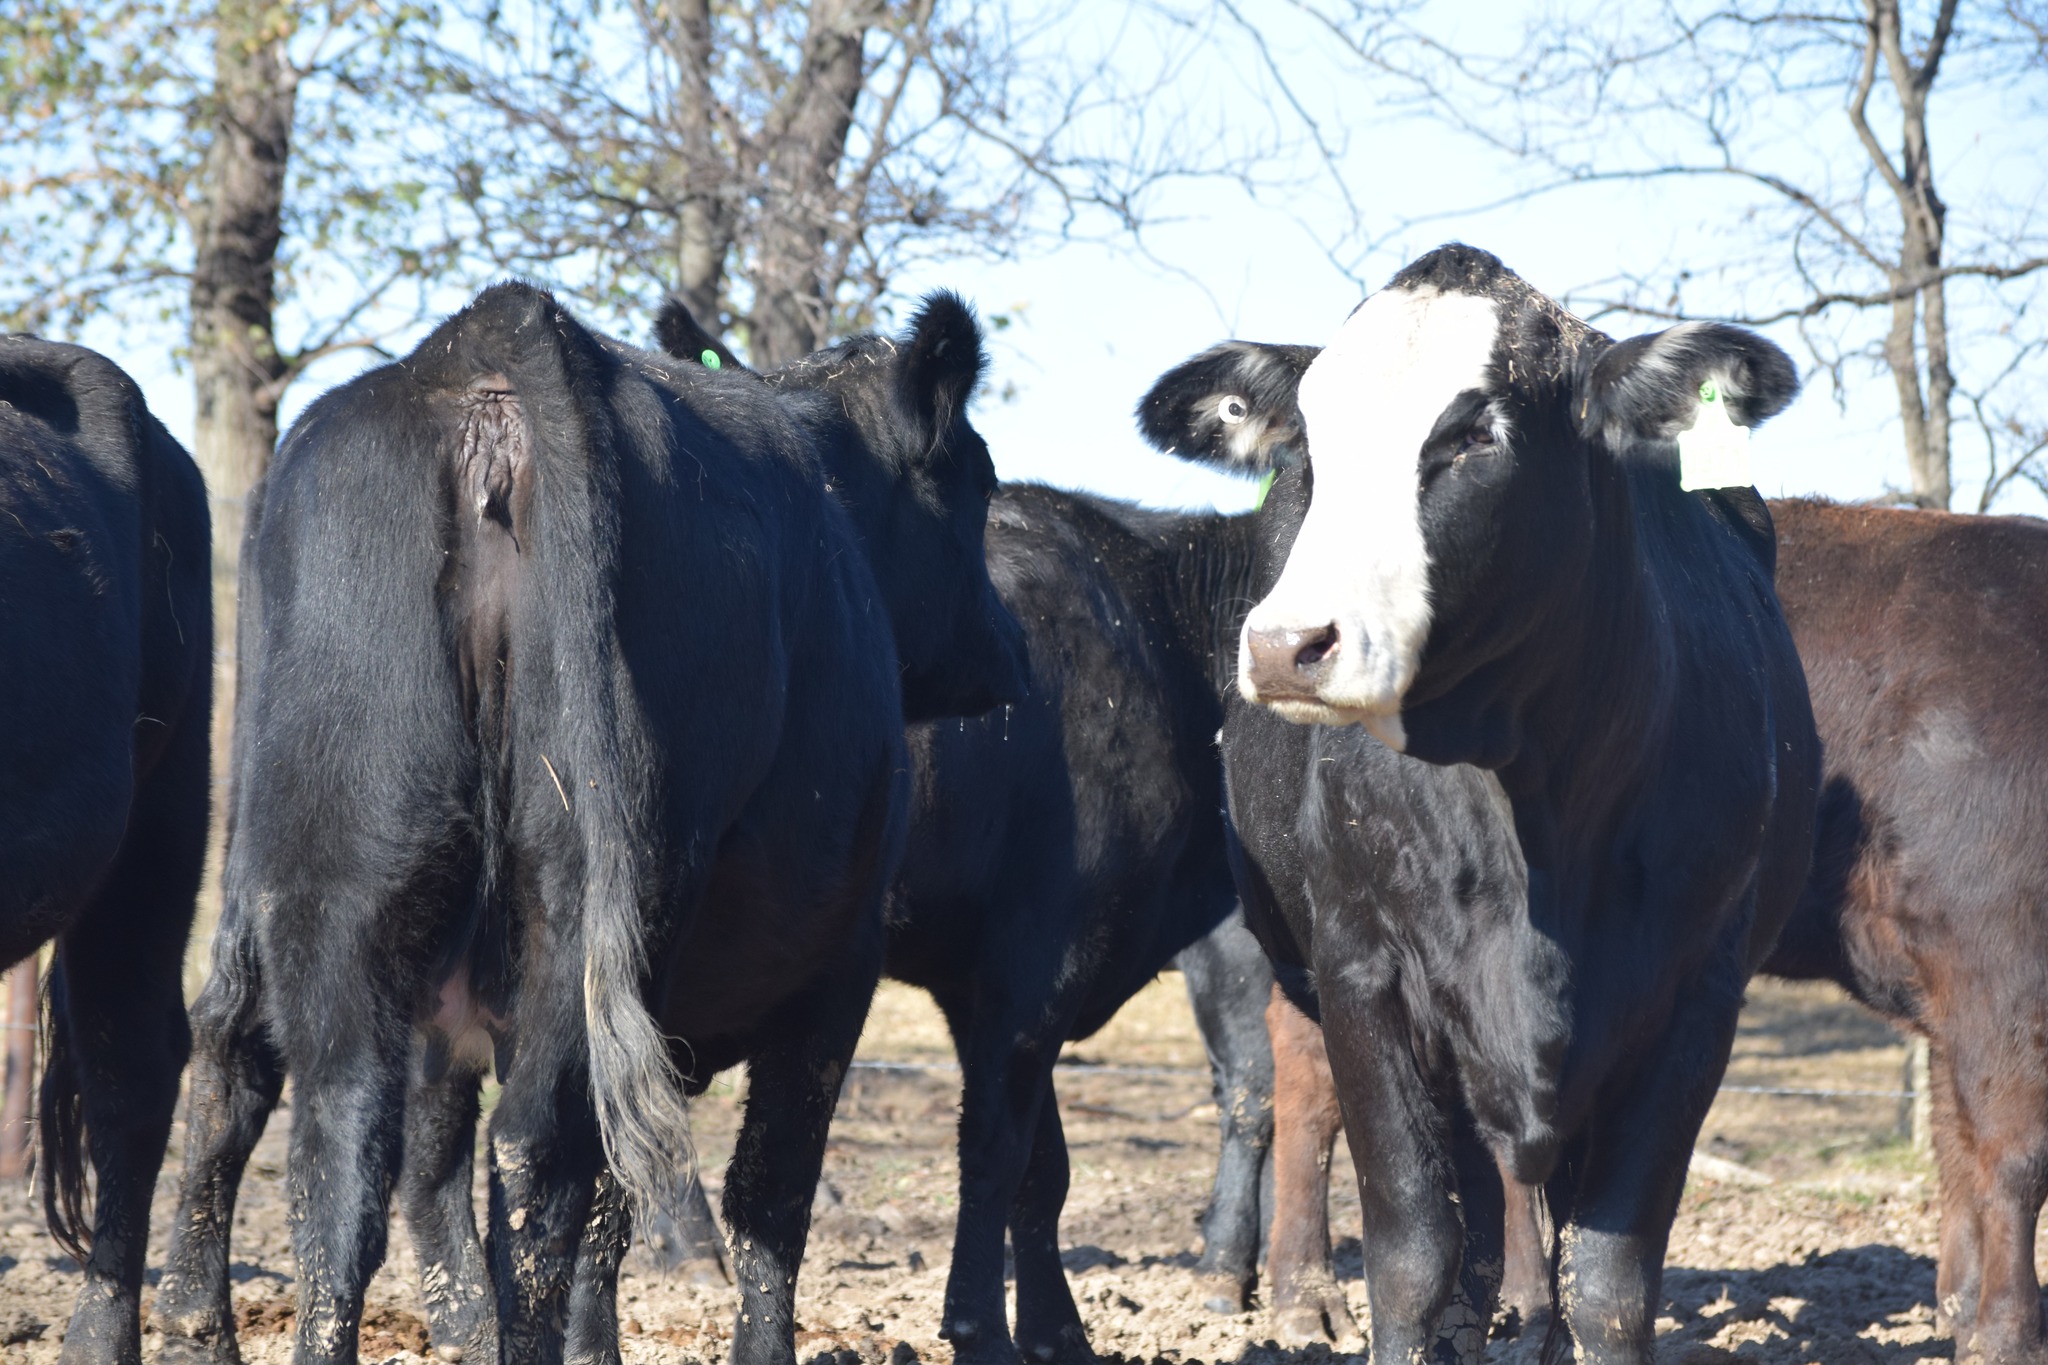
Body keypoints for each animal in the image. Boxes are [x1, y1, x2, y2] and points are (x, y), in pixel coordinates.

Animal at [150, 281, 1027, 1365]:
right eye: (977, 485)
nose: (1008, 647)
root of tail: (500, 342)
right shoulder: (839, 965)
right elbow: (760, 1195)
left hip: (337, 856)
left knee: (312, 1118)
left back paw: (209, 1320)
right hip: (585, 901)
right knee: (544, 1152)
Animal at [1136, 242, 1821, 1365]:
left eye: (1472, 436)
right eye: (1310, 450)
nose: (1286, 645)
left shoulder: (1695, 993)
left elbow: (1610, 1280)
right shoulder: (1364, 968)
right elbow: (1415, 1254)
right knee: (1313, 1103)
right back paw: (1300, 1297)